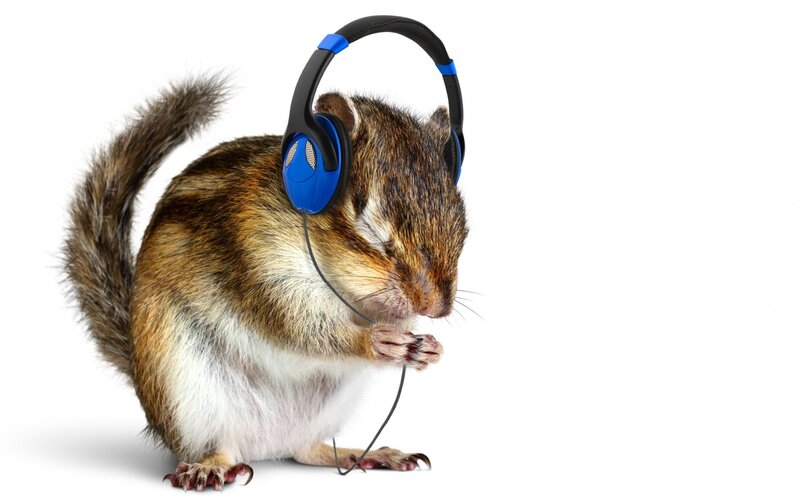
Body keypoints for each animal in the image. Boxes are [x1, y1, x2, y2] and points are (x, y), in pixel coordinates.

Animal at [62, 74, 468, 491]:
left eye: (460, 222)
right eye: (367, 223)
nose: (436, 307)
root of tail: (266, 445)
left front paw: (428, 347)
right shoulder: (259, 268)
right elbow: (303, 329)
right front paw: (375, 341)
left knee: (307, 451)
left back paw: (366, 454)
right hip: (186, 394)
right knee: (219, 446)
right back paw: (211, 468)